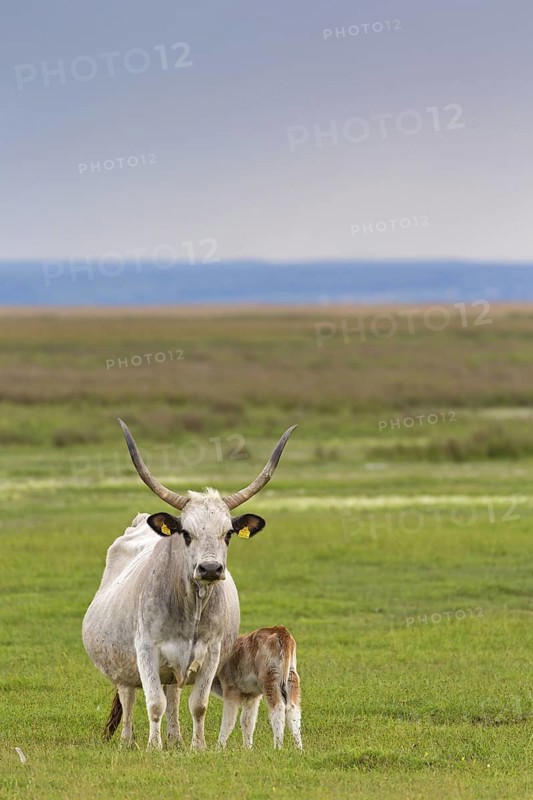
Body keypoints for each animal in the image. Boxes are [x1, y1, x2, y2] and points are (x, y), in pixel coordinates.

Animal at [82, 419, 296, 751]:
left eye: (228, 533)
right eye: (185, 533)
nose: (210, 568)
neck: (191, 607)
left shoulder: (211, 654)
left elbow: (198, 704)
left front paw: (197, 747)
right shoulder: (146, 650)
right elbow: (153, 703)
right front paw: (153, 747)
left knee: (173, 693)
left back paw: (176, 738)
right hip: (124, 663)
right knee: (129, 696)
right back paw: (129, 741)